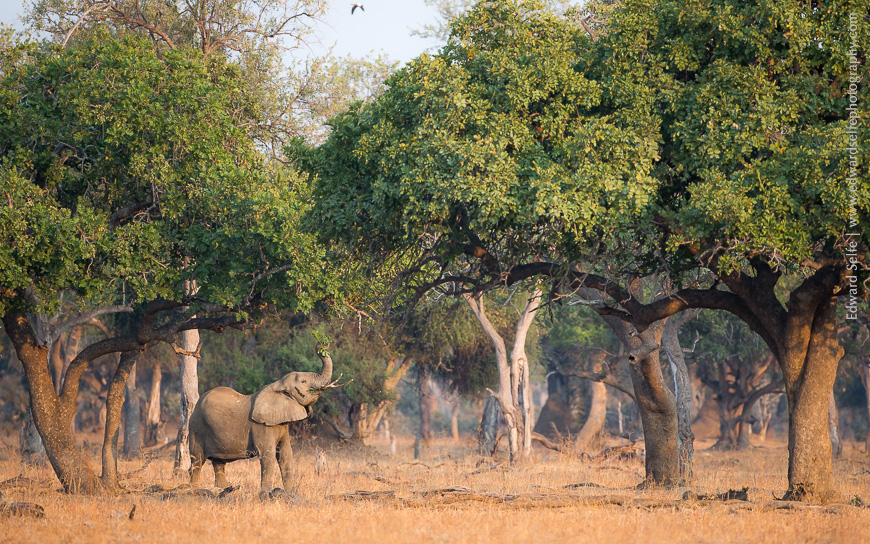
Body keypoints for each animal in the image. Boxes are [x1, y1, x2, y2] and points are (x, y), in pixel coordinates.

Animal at [188, 343, 334, 499]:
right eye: (303, 381)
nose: (321, 345)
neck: (277, 385)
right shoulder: (261, 426)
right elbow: (268, 456)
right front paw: (265, 496)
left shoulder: (281, 425)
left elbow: (286, 456)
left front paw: (291, 496)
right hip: (197, 428)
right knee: (197, 462)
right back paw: (195, 492)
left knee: (218, 464)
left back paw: (224, 493)